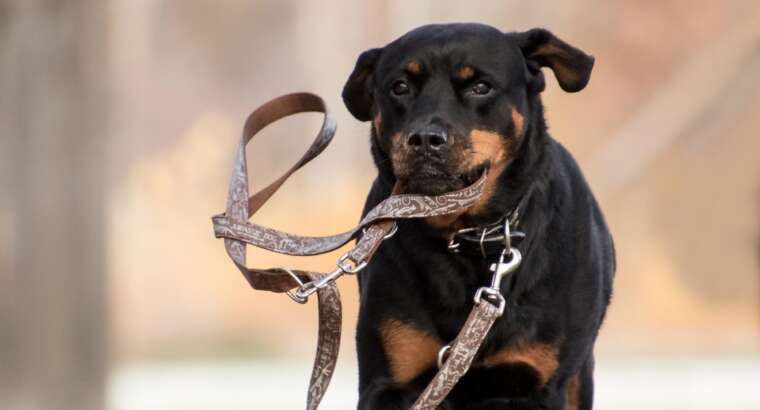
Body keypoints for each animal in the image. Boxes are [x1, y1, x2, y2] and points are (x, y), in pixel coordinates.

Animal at [342, 23, 616, 410]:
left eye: (481, 87)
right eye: (400, 87)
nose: (424, 138)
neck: (467, 235)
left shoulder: (542, 384)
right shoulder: (389, 379)